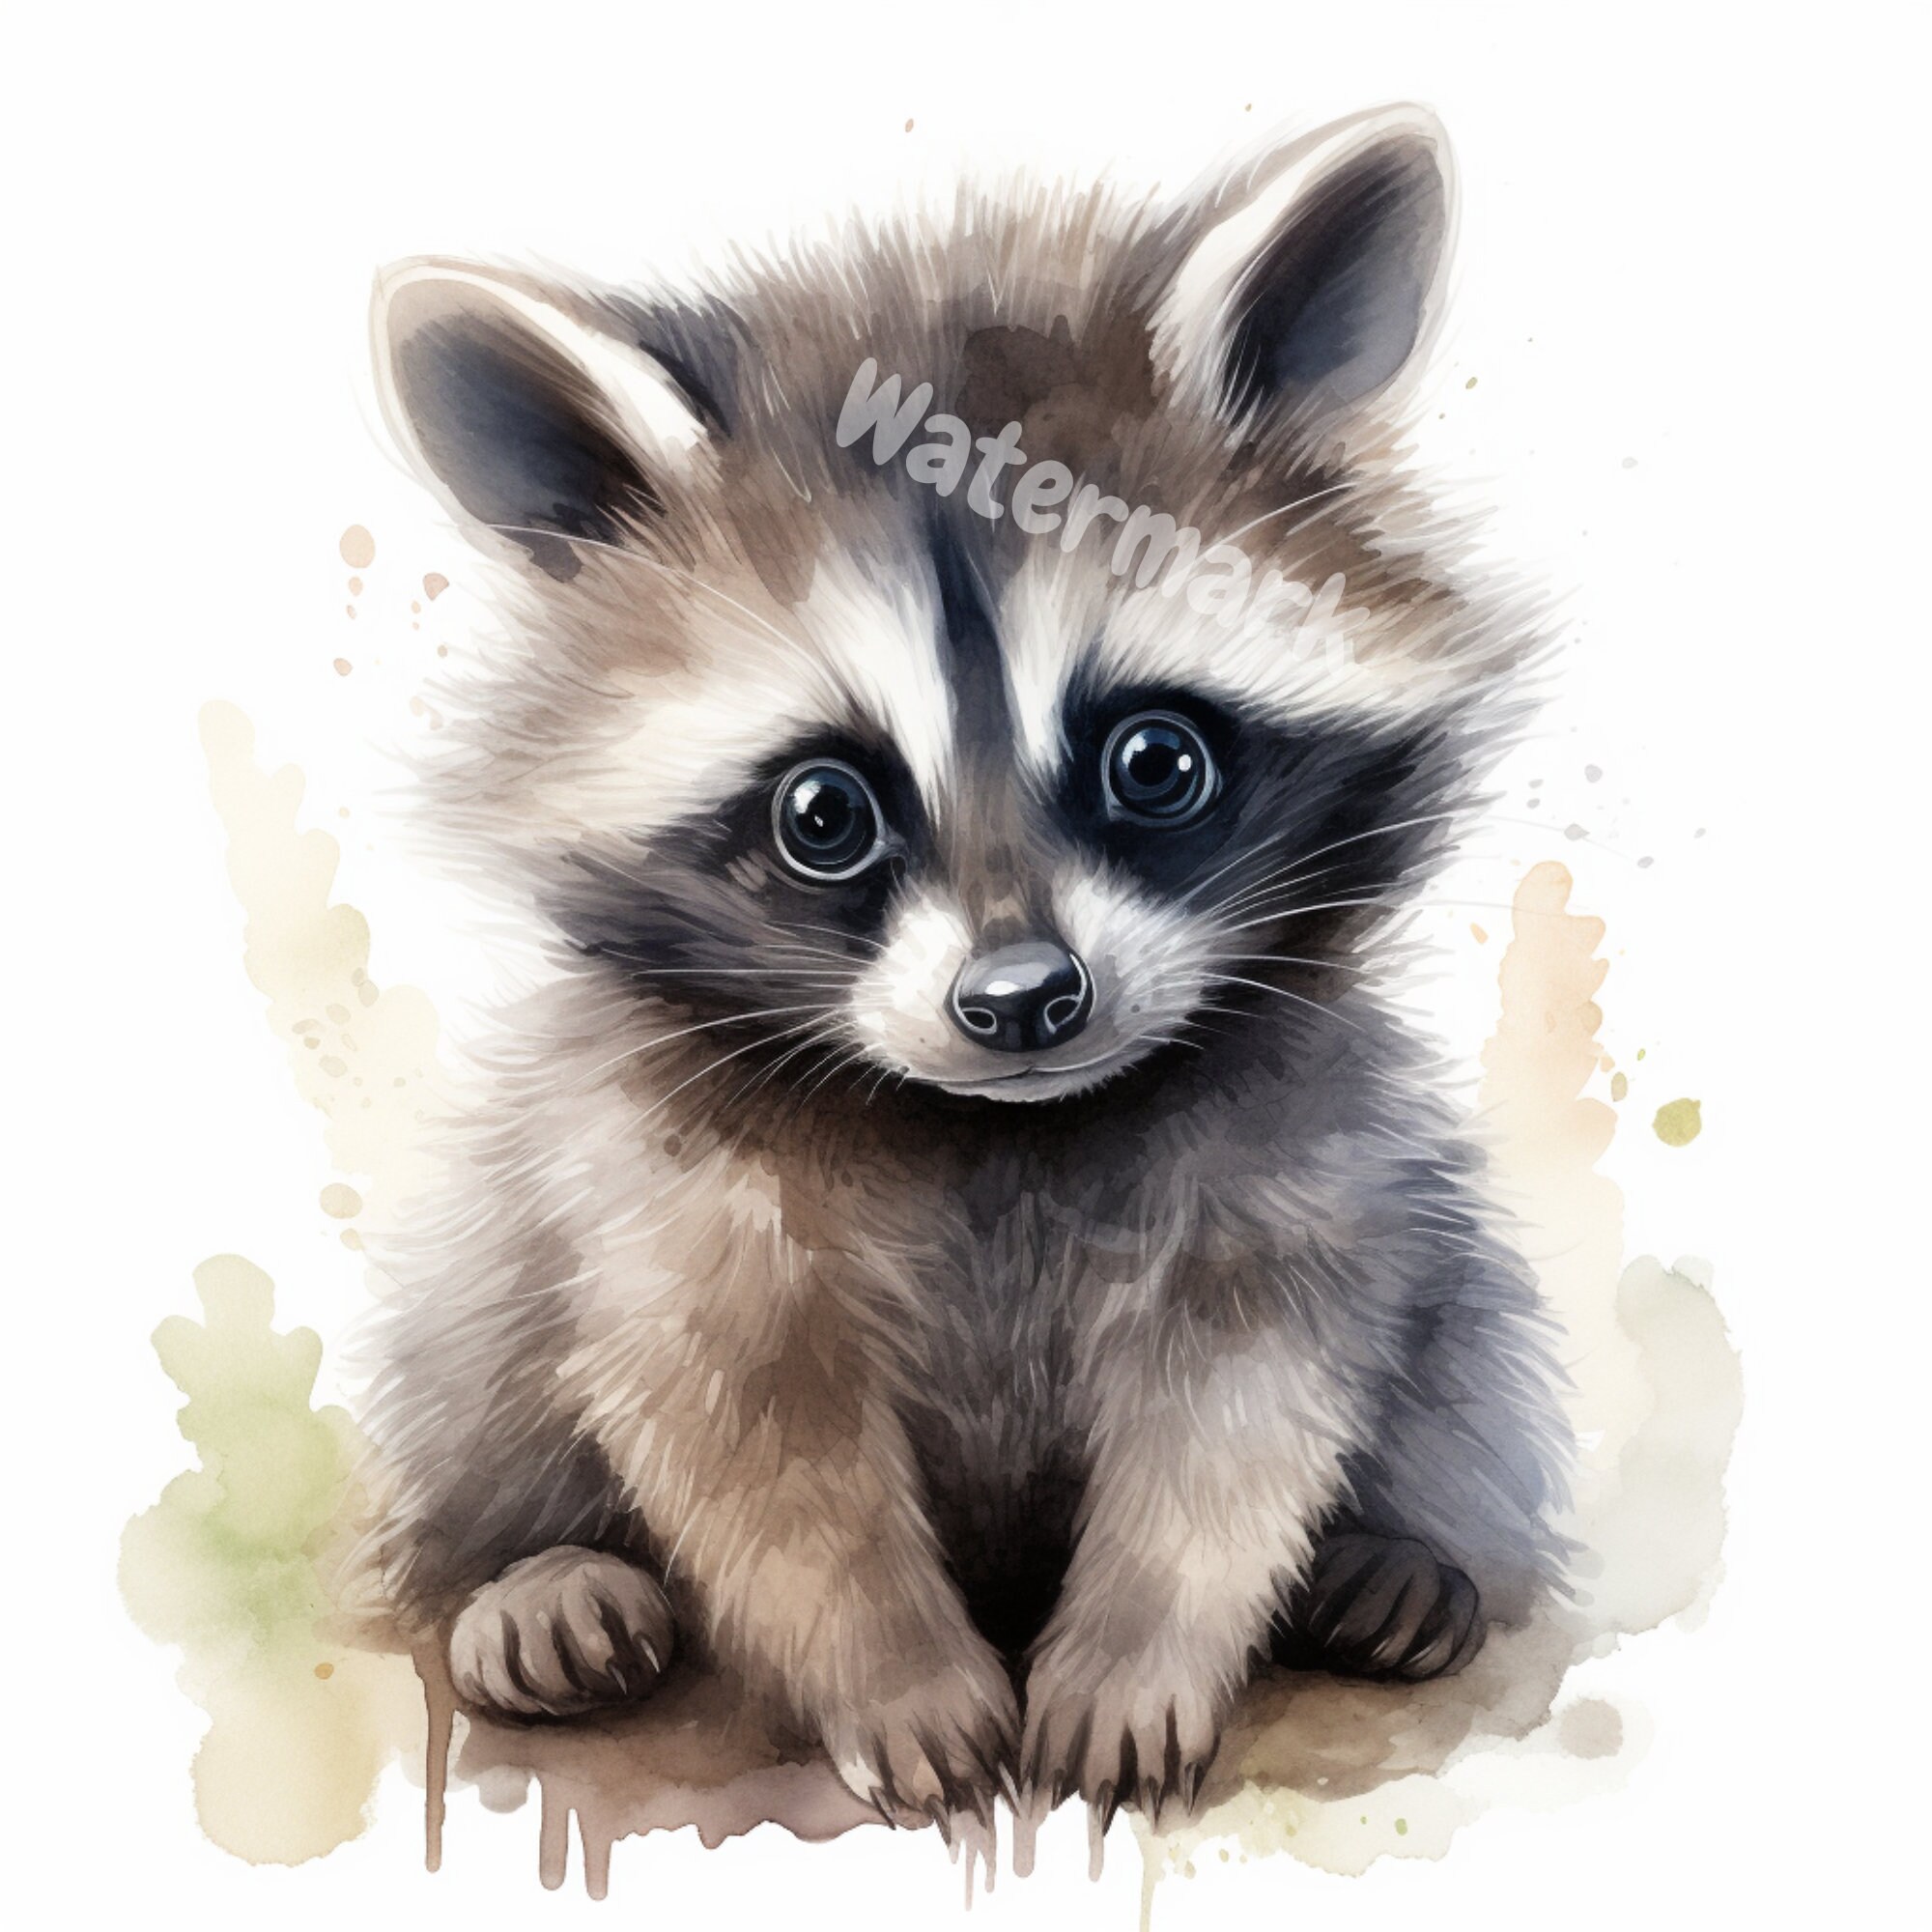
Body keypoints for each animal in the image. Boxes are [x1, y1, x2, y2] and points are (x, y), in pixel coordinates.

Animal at [361, 103, 1572, 1834]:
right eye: (823, 811)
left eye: (1156, 760)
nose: (1021, 1001)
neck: (999, 1124)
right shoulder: (661, 1182)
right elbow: (742, 1428)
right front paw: (895, 1674)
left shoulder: (1299, 1141)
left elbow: (1241, 1411)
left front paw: (1138, 1650)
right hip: (507, 1243)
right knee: (478, 1323)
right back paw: (526, 1570)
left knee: (1460, 1317)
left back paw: (1399, 1556)